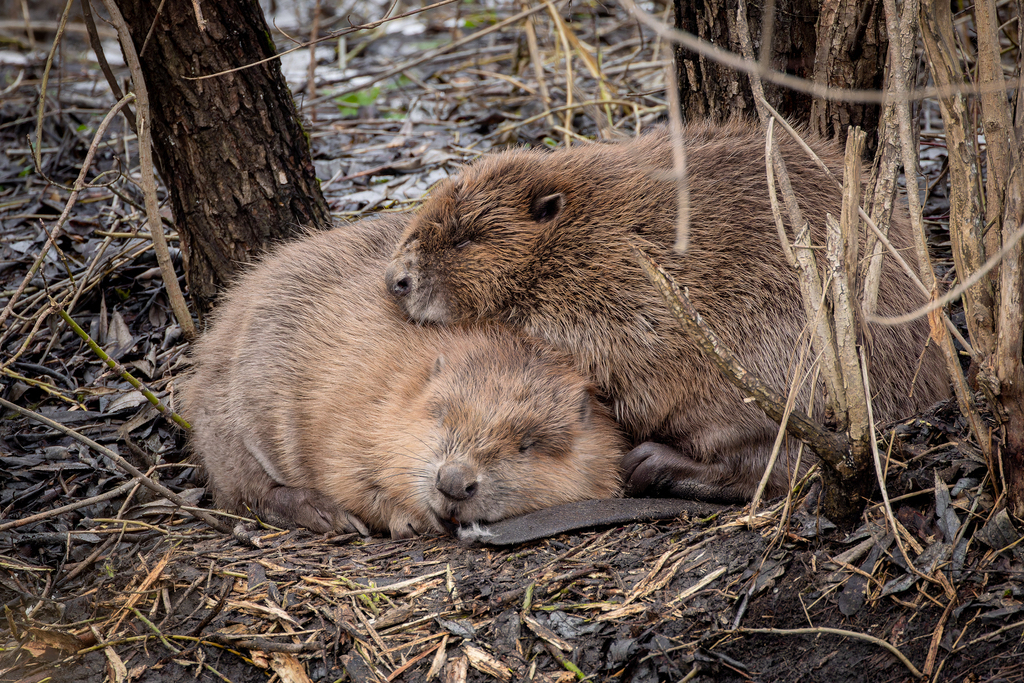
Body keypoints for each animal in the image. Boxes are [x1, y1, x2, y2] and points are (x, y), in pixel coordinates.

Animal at [180, 216, 622, 536]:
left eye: (526, 445)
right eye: (442, 415)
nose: (453, 483)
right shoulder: (350, 405)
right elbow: (348, 474)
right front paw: (402, 518)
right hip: (229, 420)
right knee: (245, 490)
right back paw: (325, 514)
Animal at [385, 118, 950, 501]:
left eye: (466, 238)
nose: (397, 281)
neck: (587, 235)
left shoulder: (624, 292)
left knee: (775, 466)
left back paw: (650, 463)